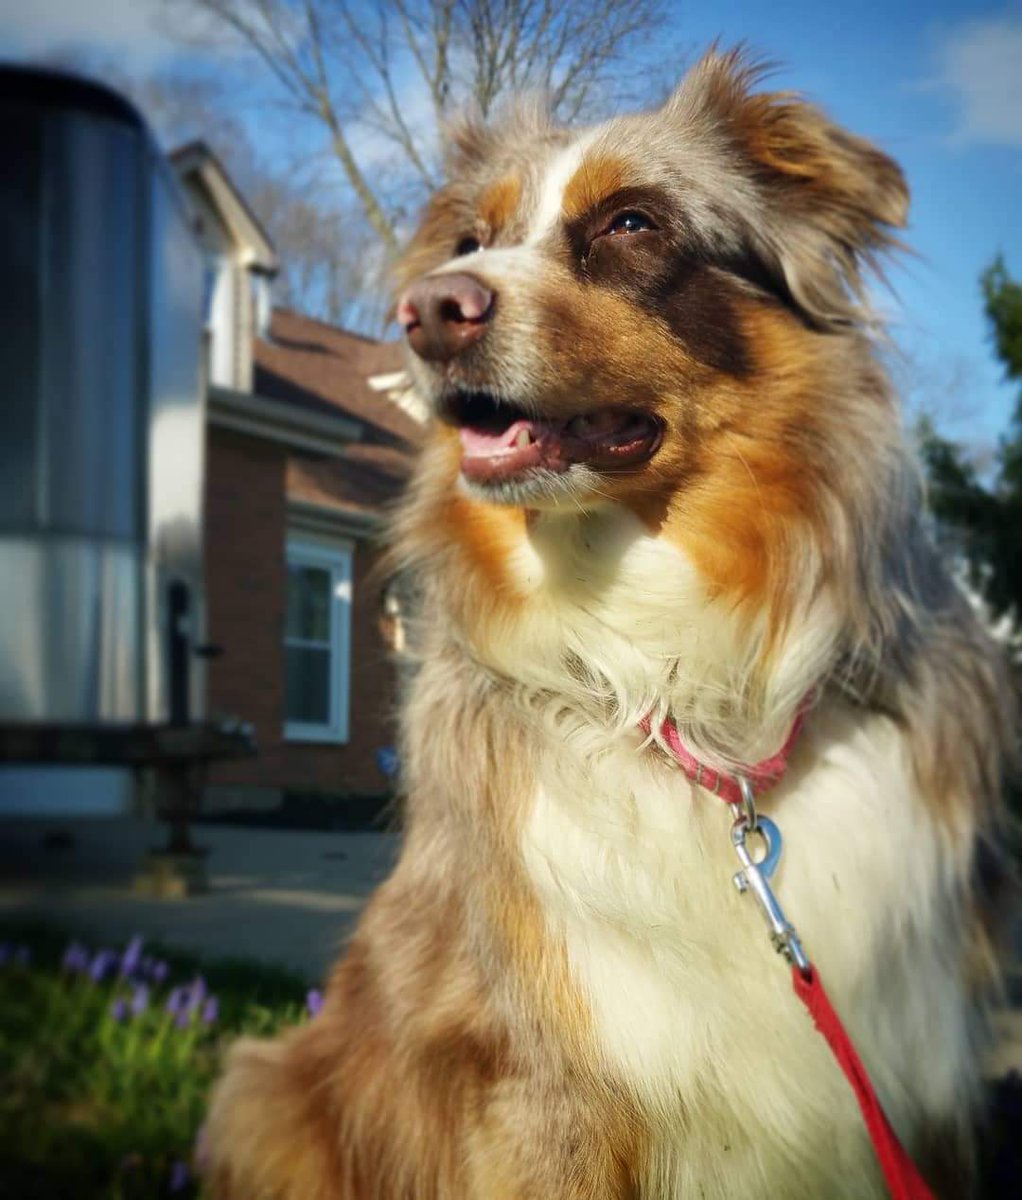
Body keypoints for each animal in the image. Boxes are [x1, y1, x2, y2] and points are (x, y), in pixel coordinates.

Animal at [207, 46, 1012, 1200]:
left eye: (632, 221)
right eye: (469, 244)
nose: (425, 311)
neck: (679, 676)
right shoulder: (548, 1081)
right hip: (271, 1086)